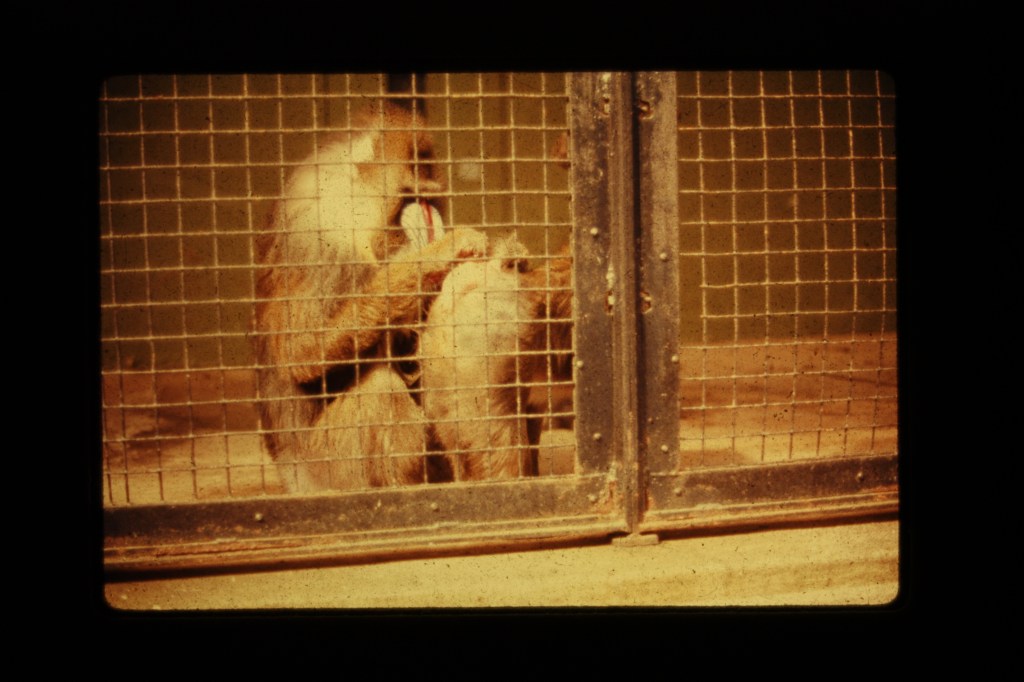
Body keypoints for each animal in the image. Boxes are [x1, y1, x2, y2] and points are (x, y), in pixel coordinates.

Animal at [253, 102, 489, 493]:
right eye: (410, 198)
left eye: (430, 197)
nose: (428, 219)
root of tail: (294, 480)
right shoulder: (319, 239)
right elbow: (301, 351)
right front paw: (433, 257)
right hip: (329, 469)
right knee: (380, 389)